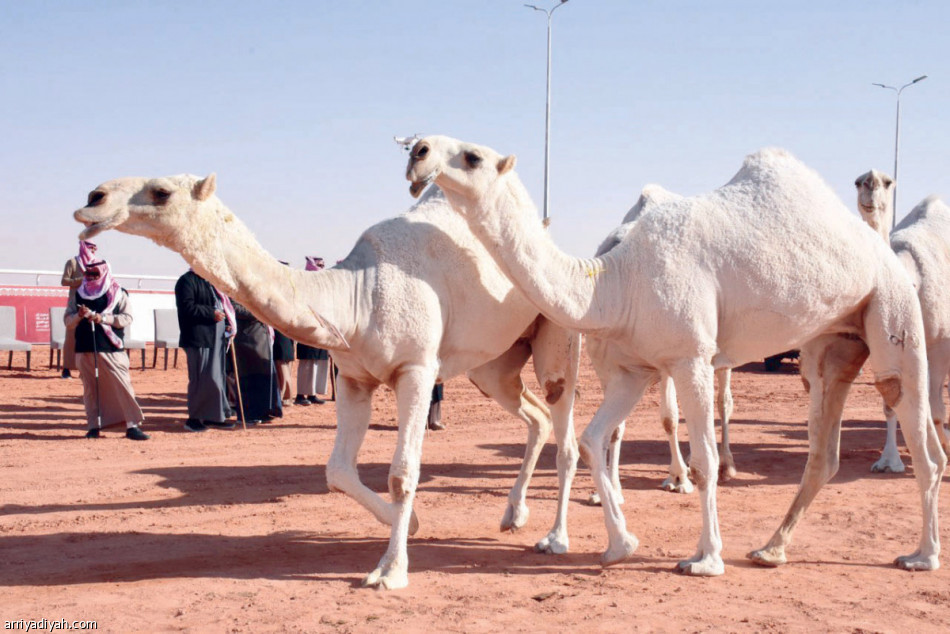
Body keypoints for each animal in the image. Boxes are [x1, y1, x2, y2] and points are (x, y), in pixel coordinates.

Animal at [72, 174, 580, 588]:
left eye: (161, 191)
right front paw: (412, 524)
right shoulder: (354, 377)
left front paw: (391, 570)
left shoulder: (416, 369)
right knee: (534, 415)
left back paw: (555, 538)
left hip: (558, 327)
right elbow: (337, 471)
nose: (92, 199)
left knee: (564, 427)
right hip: (492, 364)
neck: (356, 296)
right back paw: (514, 515)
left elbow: (402, 473)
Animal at [860, 168, 950, 464]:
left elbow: (936, 409)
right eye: (858, 181)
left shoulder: (940, 345)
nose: (870, 183)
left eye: (888, 182)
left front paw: (942, 451)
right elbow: (892, 404)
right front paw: (889, 460)